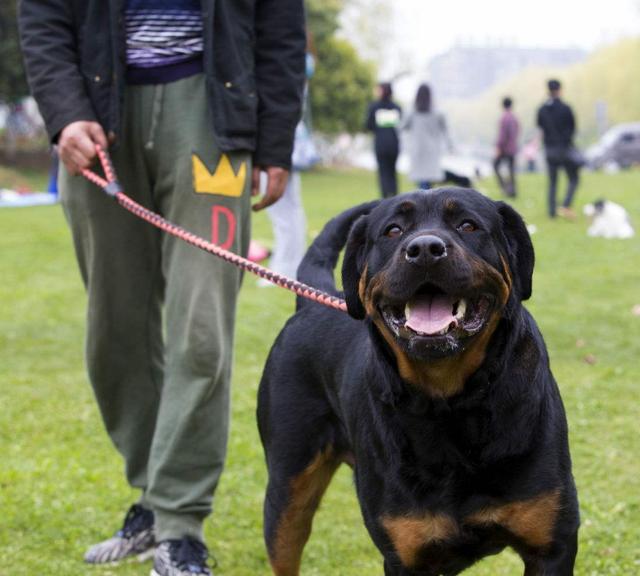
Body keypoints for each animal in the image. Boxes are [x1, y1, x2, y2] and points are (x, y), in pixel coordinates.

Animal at [256, 187, 580, 572]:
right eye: (393, 231)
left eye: (468, 225)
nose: (425, 248)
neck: (450, 402)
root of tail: (312, 300)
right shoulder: (405, 556)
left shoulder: (551, 546)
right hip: (287, 493)